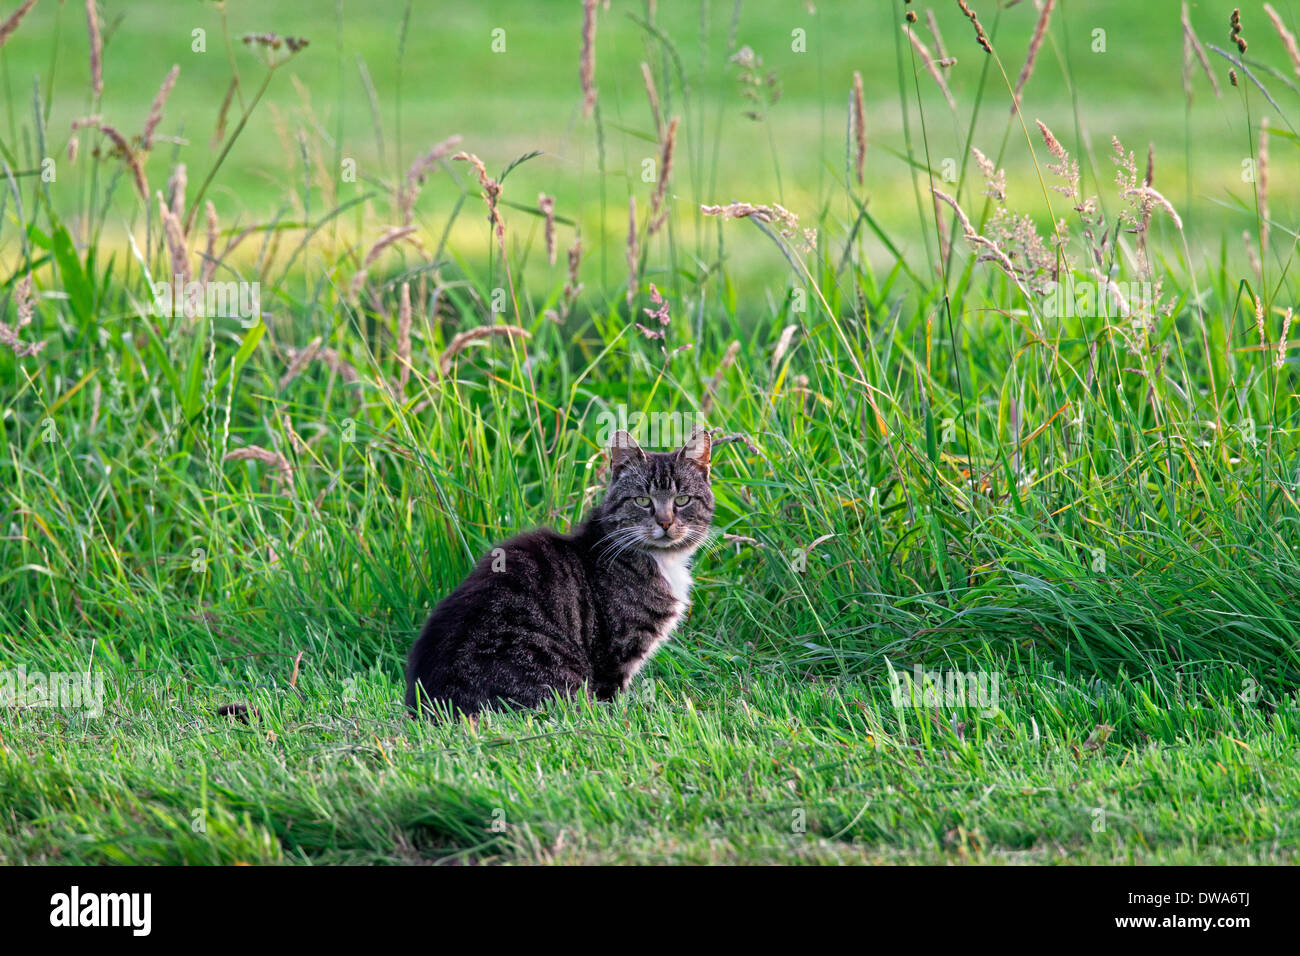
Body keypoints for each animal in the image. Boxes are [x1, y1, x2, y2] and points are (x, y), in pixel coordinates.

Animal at [403, 426, 717, 717]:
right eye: (642, 501)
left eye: (682, 500)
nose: (665, 522)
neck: (662, 561)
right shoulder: (614, 655)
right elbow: (612, 696)